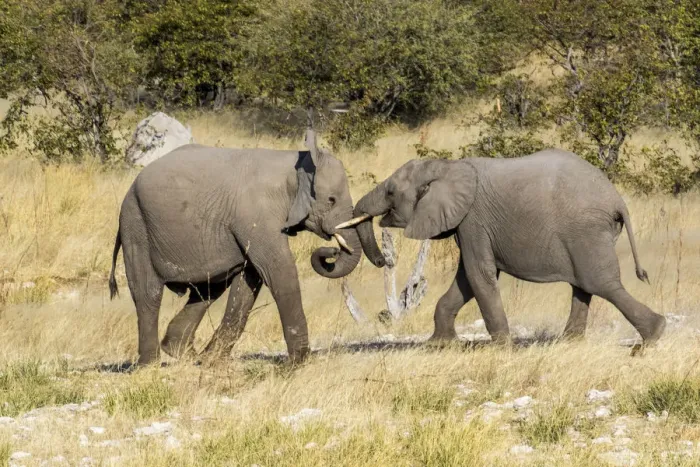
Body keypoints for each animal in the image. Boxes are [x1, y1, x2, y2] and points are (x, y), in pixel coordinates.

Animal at [108, 130, 373, 365]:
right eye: (331, 200)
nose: (333, 250)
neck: (295, 162)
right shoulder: (256, 214)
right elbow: (278, 271)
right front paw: (298, 362)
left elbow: (249, 281)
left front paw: (213, 362)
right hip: (136, 225)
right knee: (148, 294)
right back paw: (150, 364)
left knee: (206, 290)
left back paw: (186, 356)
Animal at [341, 150, 666, 346]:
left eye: (390, 192)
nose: (382, 260)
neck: (448, 166)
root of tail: (617, 200)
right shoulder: (467, 224)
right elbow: (466, 279)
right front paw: (438, 345)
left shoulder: (473, 219)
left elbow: (479, 274)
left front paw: (500, 347)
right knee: (584, 285)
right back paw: (568, 342)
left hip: (585, 230)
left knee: (600, 283)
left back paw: (653, 336)